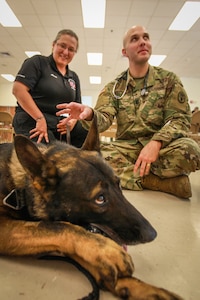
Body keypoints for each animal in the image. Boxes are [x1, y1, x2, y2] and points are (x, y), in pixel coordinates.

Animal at [0, 117, 184, 300]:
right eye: (100, 199)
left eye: (119, 185)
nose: (152, 234)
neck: (21, 190)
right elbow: (58, 226)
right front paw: (108, 251)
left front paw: (132, 285)